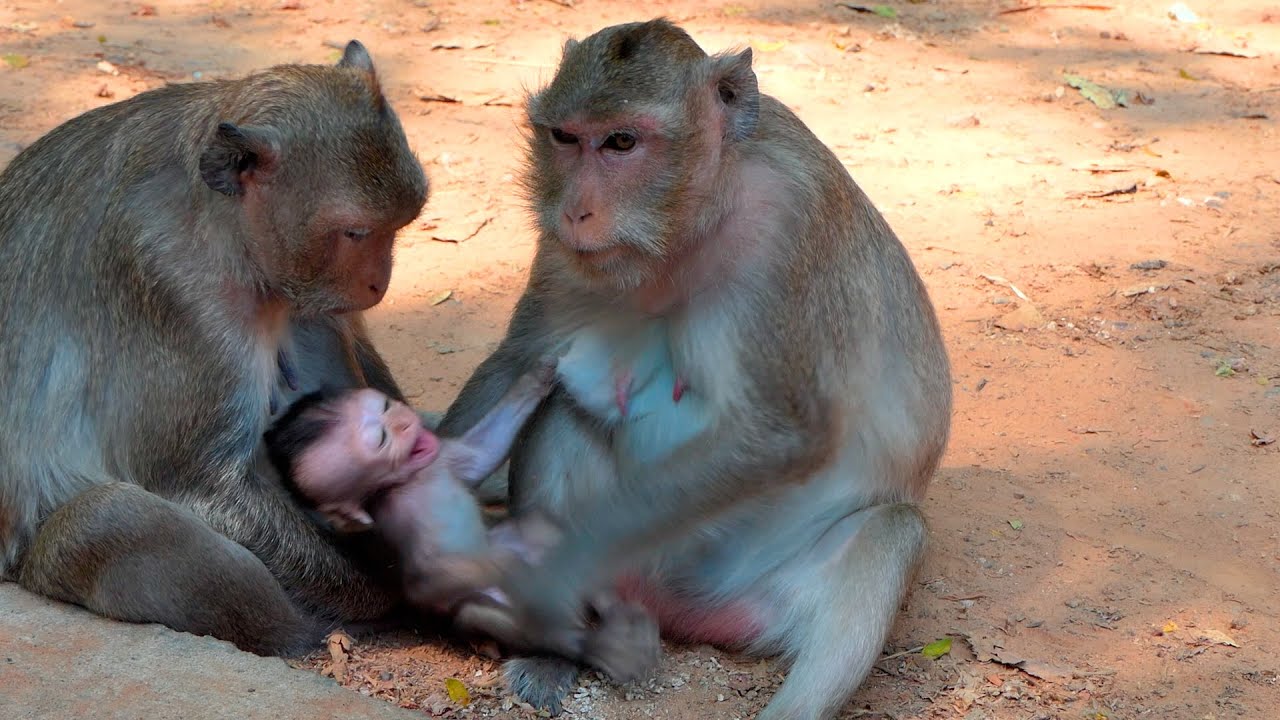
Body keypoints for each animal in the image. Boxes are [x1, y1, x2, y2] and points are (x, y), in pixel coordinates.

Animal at [0, 40, 429, 656]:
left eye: (402, 223)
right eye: (355, 233)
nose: (379, 283)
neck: (223, 229)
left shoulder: (302, 291)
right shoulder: (173, 288)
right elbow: (199, 486)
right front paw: (386, 589)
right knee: (110, 518)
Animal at [260, 360, 659, 683]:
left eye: (386, 408)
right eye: (382, 439)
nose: (404, 420)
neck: (413, 479)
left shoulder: (440, 457)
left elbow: (480, 455)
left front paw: (538, 375)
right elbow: (428, 576)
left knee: (542, 534)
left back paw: (614, 607)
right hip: (486, 605)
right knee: (489, 613)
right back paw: (596, 644)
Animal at [437, 19, 953, 719]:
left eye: (622, 142)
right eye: (565, 138)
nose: (574, 211)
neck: (697, 217)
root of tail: (678, 607)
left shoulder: (788, 225)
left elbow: (781, 433)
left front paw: (546, 571)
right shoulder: (563, 246)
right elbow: (523, 357)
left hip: (759, 596)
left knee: (890, 533)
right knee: (560, 414)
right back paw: (554, 649)